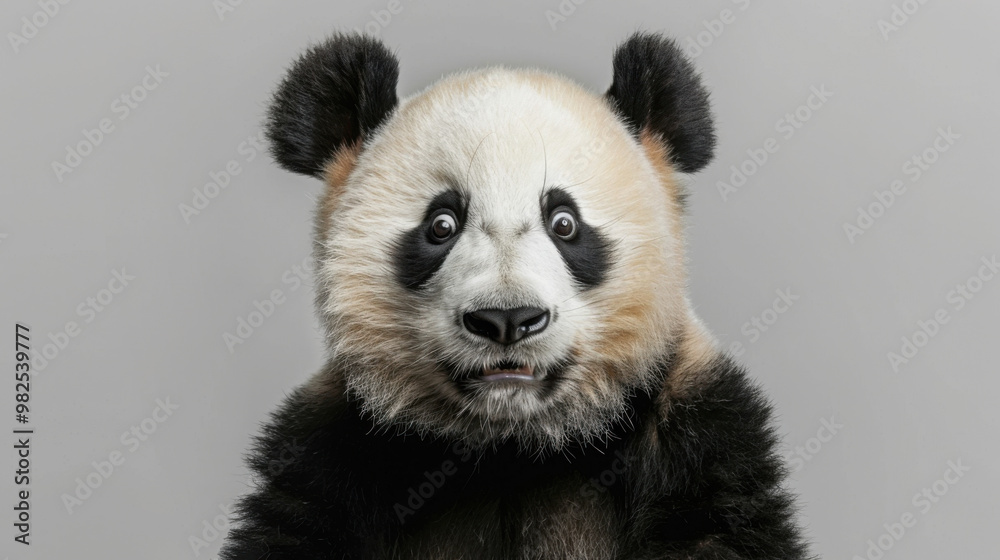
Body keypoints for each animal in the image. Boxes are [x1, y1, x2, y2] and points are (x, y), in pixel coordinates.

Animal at [220, 32, 812, 560]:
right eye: (441, 224)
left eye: (565, 222)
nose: (507, 319)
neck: (514, 447)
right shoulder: (333, 450)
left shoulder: (695, 435)